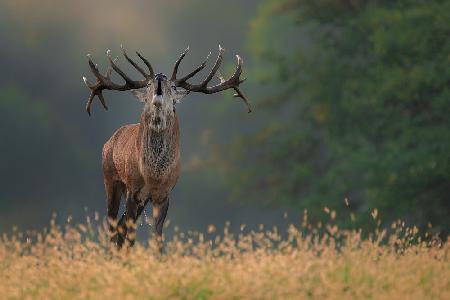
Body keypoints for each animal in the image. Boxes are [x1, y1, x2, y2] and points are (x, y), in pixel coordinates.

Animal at [82, 45, 251, 250]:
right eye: (147, 85)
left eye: (174, 86)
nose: (160, 77)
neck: (153, 174)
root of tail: (110, 140)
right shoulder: (133, 187)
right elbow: (131, 235)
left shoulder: (165, 192)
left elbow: (158, 237)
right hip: (110, 178)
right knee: (114, 226)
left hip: (142, 197)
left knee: (120, 226)